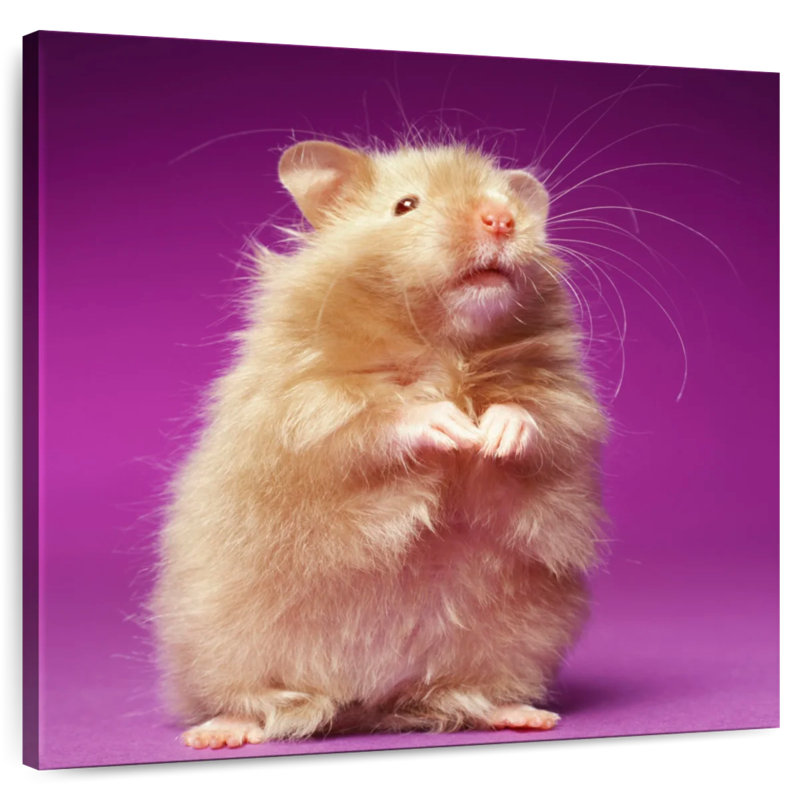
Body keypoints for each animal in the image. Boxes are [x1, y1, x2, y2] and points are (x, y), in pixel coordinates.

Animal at [151, 140, 606, 749]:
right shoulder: (308, 406)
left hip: (521, 639)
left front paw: (490, 436)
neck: (444, 338)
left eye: (507, 200)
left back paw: (525, 715)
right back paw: (215, 734)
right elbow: (382, 418)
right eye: (405, 205)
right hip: (220, 646)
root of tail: (364, 705)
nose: (502, 219)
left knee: (471, 697)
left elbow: (535, 415)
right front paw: (455, 427)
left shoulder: (565, 399)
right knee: (249, 704)